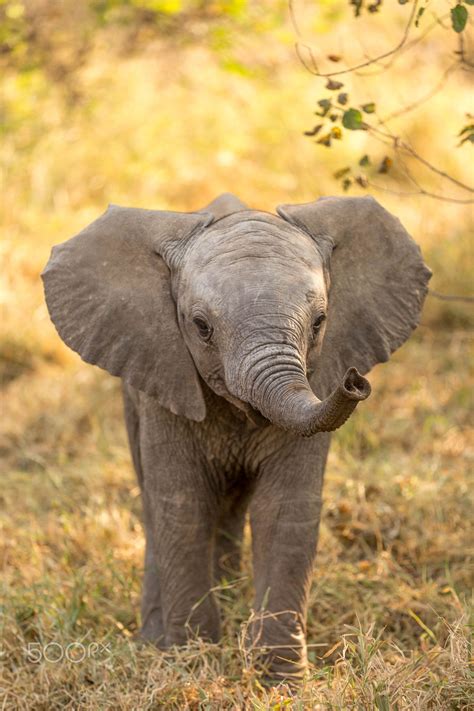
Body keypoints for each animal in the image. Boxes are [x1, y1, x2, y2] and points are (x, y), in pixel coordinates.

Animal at [42, 193, 432, 684]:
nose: (354, 382)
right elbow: (182, 505)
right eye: (200, 326)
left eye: (320, 322)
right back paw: (156, 637)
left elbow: (283, 510)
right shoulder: (163, 390)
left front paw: (280, 680)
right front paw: (192, 663)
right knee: (157, 501)